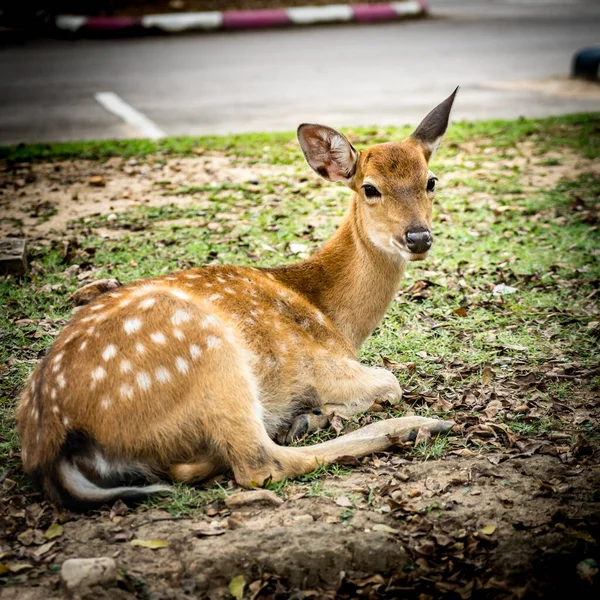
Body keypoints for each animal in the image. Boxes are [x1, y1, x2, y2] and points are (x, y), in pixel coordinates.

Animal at [17, 90, 460, 510]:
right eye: (370, 188)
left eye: (431, 181)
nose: (418, 237)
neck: (332, 316)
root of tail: (53, 445)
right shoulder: (316, 363)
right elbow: (390, 382)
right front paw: (315, 413)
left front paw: (313, 414)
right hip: (211, 357)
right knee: (259, 463)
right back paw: (414, 424)